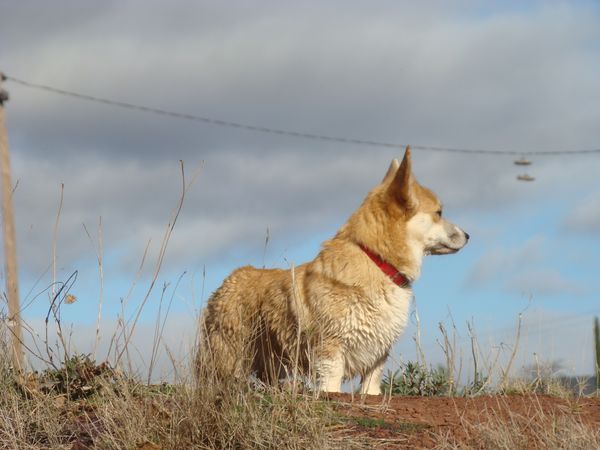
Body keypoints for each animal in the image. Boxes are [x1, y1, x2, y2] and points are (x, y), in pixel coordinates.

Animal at [200, 147, 468, 394]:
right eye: (439, 213)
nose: (468, 235)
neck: (377, 260)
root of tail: (226, 283)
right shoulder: (331, 350)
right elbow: (331, 384)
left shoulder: (377, 357)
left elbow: (370, 387)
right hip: (228, 360)